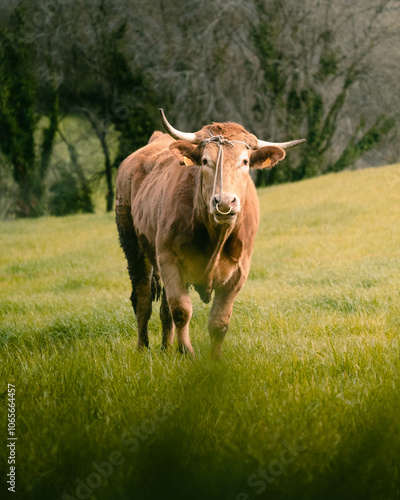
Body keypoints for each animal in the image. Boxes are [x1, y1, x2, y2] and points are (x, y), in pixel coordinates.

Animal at [115, 110, 304, 358]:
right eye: (205, 161)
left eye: (245, 161)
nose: (224, 202)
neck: (215, 234)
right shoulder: (169, 259)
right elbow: (181, 310)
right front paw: (187, 352)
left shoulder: (239, 271)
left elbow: (219, 320)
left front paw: (214, 359)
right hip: (133, 247)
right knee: (143, 298)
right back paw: (142, 348)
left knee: (164, 308)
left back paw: (166, 348)